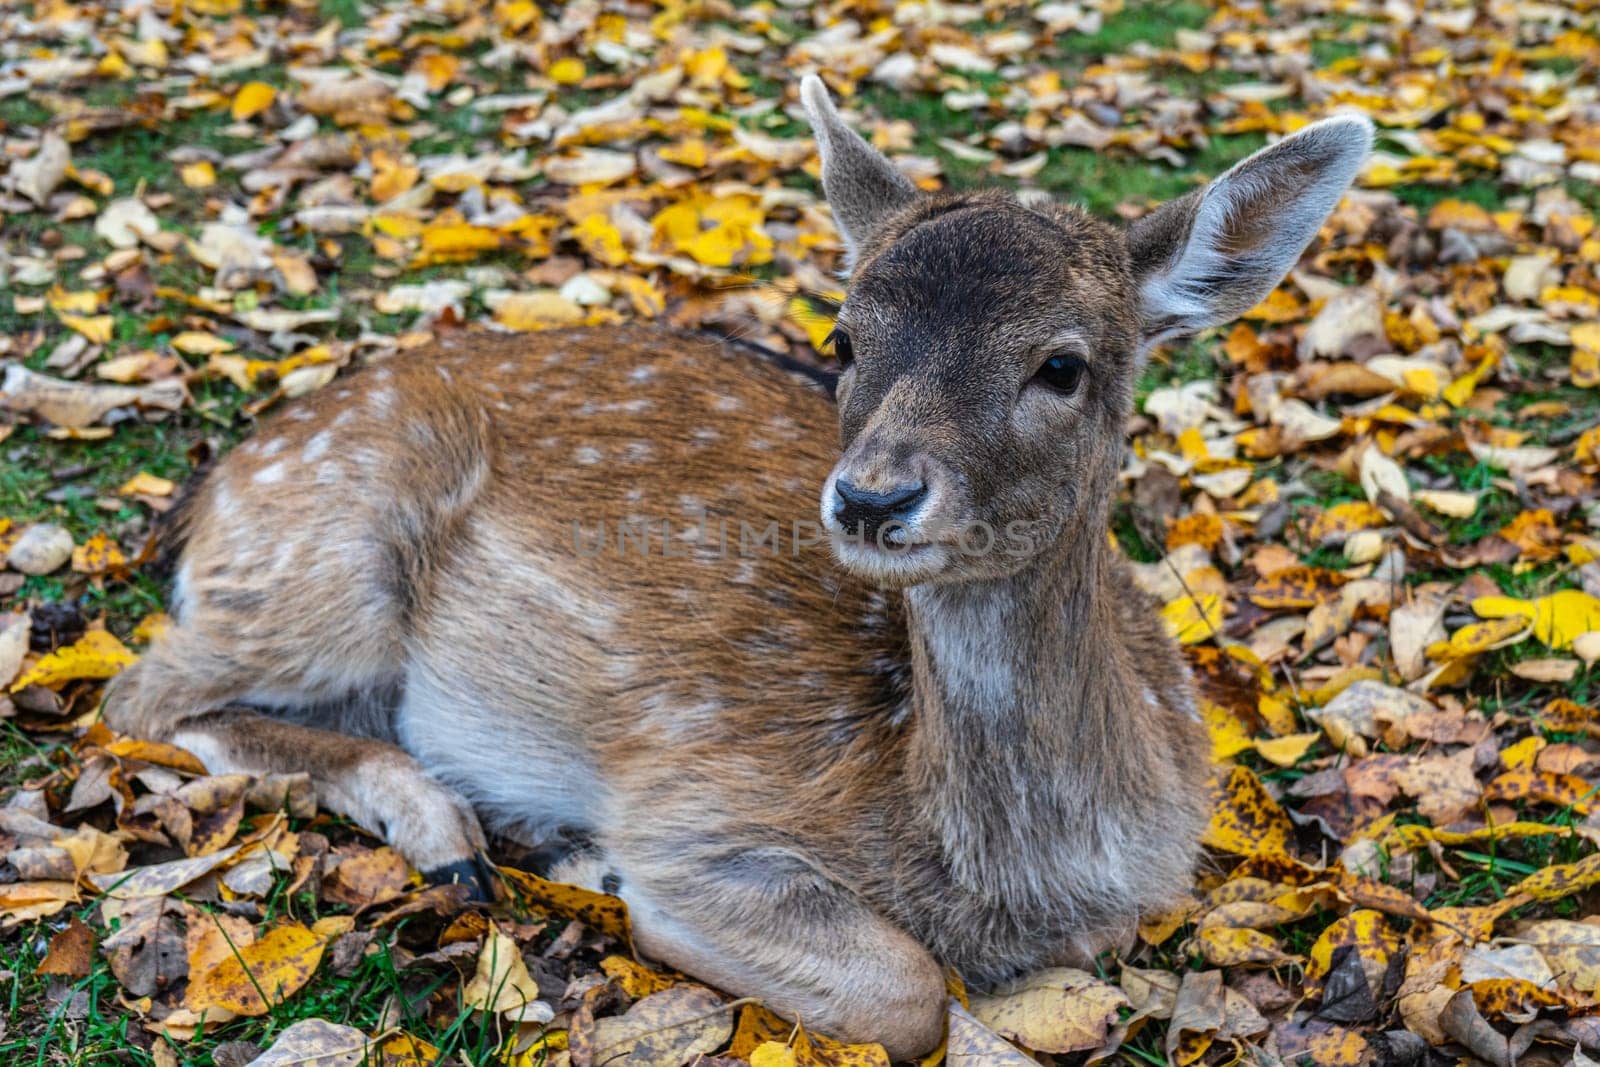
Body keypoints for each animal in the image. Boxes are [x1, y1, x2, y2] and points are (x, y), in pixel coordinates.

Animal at [103, 77, 1376, 1062]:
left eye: (1061, 364)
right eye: (842, 338)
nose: (871, 497)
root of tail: (213, 488)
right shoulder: (696, 798)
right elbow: (907, 990)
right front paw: (604, 867)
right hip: (323, 560)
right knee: (137, 697)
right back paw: (460, 832)